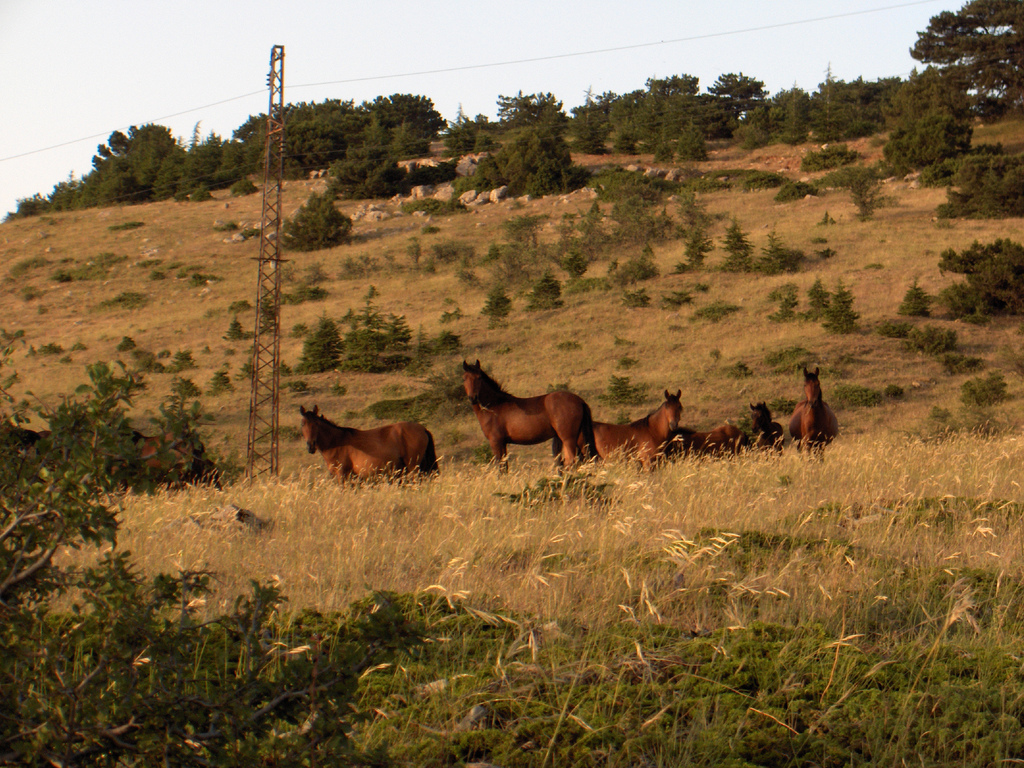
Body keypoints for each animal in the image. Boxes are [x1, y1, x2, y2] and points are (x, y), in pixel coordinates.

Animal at [299, 403, 438, 481]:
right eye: (302, 424)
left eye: (316, 424)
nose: (310, 446)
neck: (337, 443)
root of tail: (422, 429)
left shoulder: (343, 476)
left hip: (413, 467)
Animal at [460, 360, 598, 468]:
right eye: (464, 378)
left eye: (479, 378)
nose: (473, 398)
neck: (494, 406)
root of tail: (579, 401)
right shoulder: (503, 444)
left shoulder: (496, 442)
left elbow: (501, 468)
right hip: (579, 438)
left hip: (568, 438)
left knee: (572, 462)